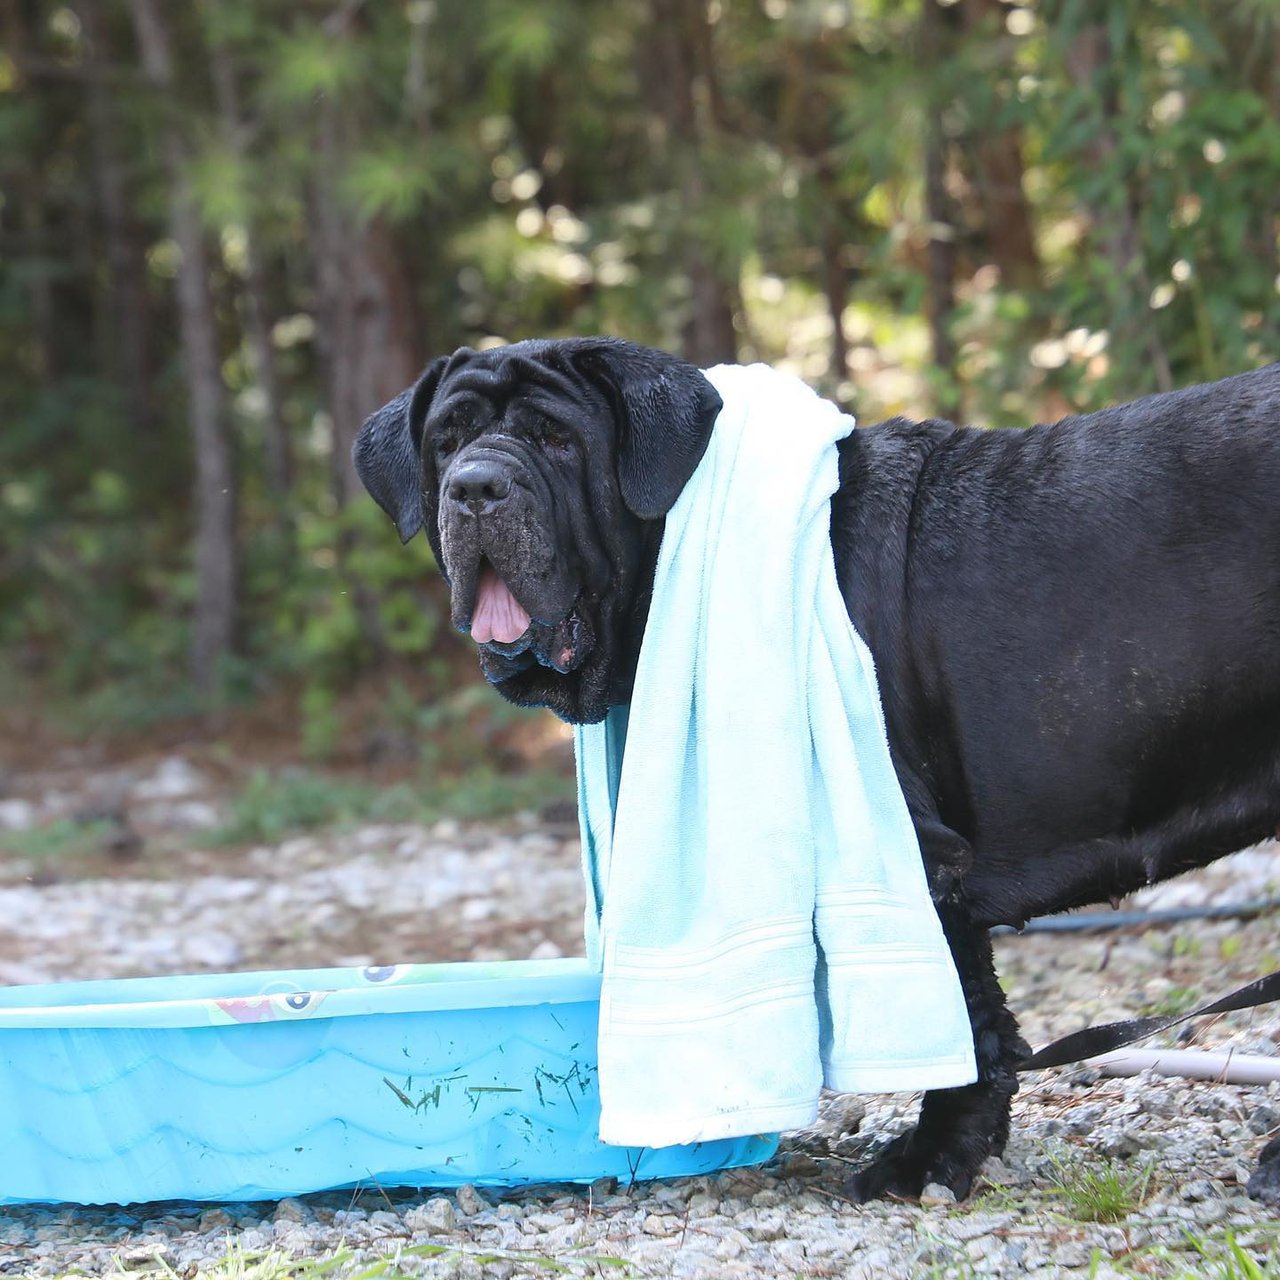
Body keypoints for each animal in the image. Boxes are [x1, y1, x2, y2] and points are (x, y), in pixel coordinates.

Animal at [355, 337, 1280, 1198]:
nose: (476, 487)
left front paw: (929, 1161)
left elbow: (967, 1025)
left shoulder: (921, 857)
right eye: (446, 441)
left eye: (557, 440)